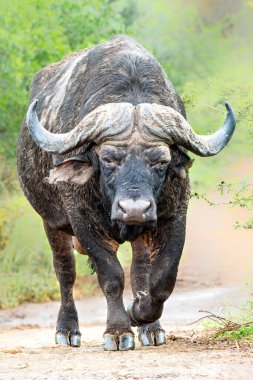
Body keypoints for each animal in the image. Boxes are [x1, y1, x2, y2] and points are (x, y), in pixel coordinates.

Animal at [16, 35, 236, 350]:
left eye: (161, 161)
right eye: (108, 158)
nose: (134, 209)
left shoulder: (174, 217)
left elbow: (162, 279)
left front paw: (139, 313)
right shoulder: (82, 221)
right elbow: (111, 276)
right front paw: (119, 331)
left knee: (140, 269)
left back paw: (150, 329)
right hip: (51, 223)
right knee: (65, 272)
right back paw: (67, 330)